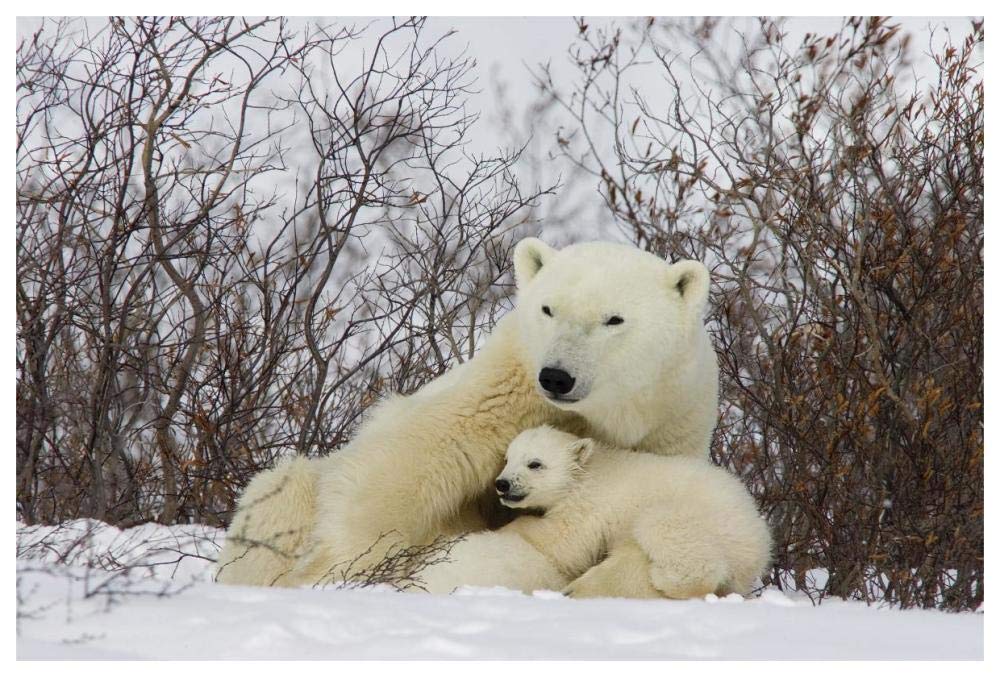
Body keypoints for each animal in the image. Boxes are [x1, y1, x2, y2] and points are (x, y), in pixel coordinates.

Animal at [216, 238, 730, 590]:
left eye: (614, 319)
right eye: (548, 309)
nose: (556, 377)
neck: (603, 412)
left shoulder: (670, 417)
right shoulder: (505, 383)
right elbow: (406, 463)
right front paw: (339, 570)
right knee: (282, 491)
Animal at [417, 426, 772, 598]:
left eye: (535, 463)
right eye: (508, 458)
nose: (502, 484)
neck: (589, 470)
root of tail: (760, 542)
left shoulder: (589, 506)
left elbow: (562, 540)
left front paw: (510, 529)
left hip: (703, 520)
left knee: (666, 532)